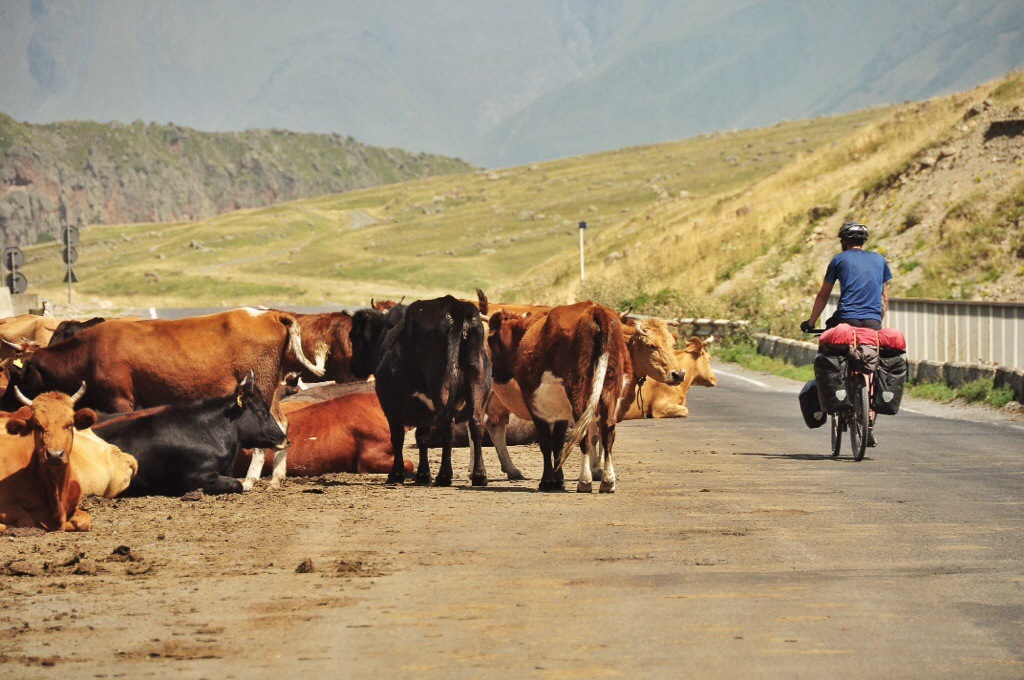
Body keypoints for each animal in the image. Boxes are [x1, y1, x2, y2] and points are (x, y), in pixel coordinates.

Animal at [1, 309, 324, 436]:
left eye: (16, 374)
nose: (3, 401)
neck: (89, 352)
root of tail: (269, 314)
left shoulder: (120, 401)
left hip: (262, 389)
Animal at [349, 295, 491, 487]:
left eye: (352, 336)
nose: (352, 366)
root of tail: (456, 306)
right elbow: (421, 435)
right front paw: (423, 474)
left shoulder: (392, 407)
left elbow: (398, 437)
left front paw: (397, 474)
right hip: (477, 383)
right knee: (475, 424)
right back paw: (479, 475)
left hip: (441, 389)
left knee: (447, 426)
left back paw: (444, 476)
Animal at [487, 302, 685, 493]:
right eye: (651, 345)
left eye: (672, 345)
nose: (679, 374)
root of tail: (595, 310)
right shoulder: (561, 408)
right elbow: (569, 440)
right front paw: (575, 475)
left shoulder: (537, 404)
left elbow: (551, 442)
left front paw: (550, 480)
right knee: (607, 429)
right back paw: (606, 481)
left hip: (579, 389)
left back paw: (583, 481)